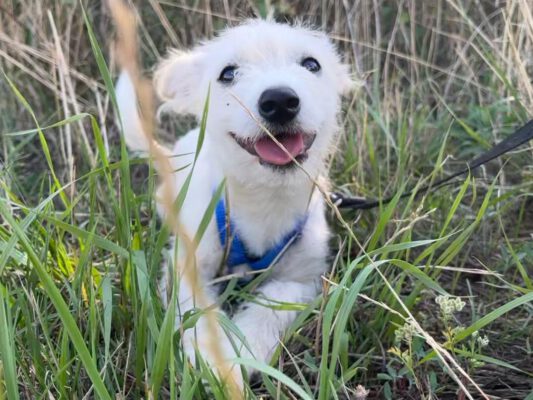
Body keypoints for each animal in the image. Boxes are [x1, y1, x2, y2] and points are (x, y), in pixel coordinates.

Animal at [116, 18, 353, 383]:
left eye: (312, 65)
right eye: (228, 73)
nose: (279, 100)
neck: (263, 199)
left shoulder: (302, 280)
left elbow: (272, 306)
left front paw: (244, 351)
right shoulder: (187, 269)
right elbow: (199, 313)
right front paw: (211, 359)